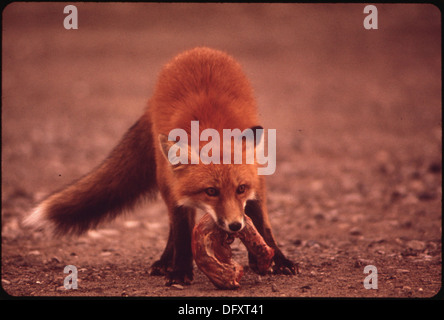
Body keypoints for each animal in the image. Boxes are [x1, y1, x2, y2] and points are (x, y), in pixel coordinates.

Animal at [27, 48, 298, 284]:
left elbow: (263, 225)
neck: (213, 128)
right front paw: (179, 272)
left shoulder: (257, 186)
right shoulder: (176, 192)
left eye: (240, 189)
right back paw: (166, 261)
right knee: (172, 228)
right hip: (165, 181)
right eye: (211, 191)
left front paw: (278, 259)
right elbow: (181, 234)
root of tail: (198, 50)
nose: (234, 226)